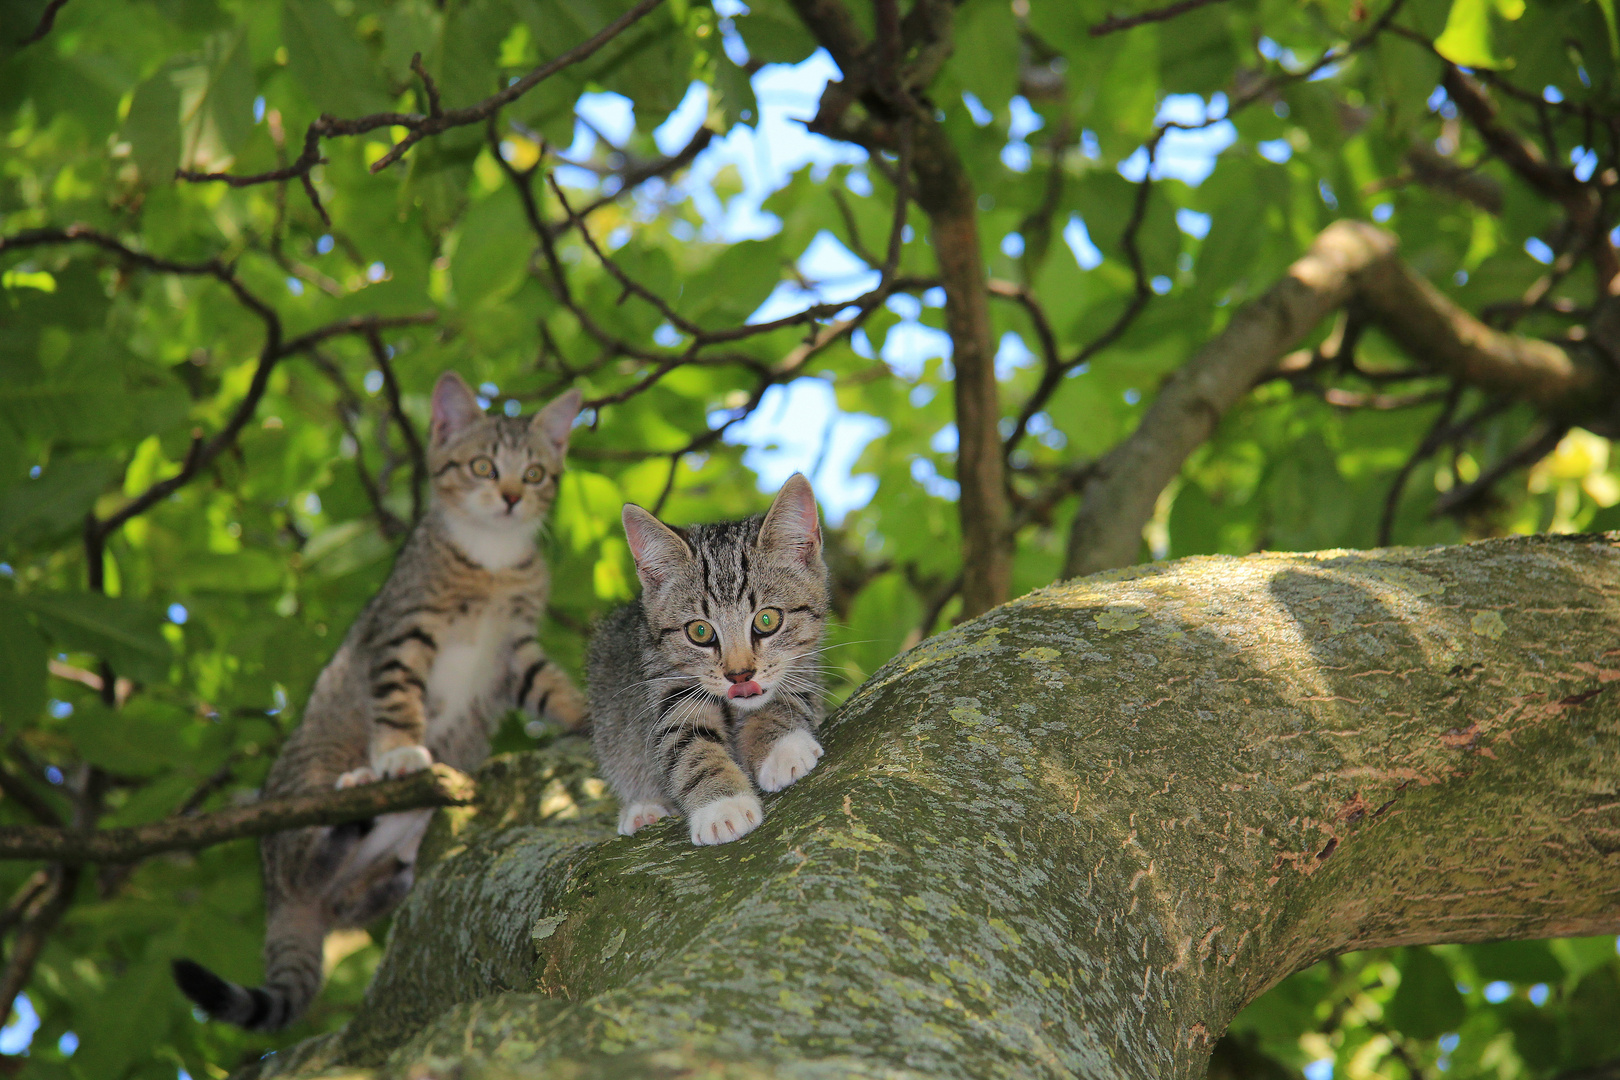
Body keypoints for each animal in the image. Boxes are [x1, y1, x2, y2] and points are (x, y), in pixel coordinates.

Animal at [170, 375, 586, 1036]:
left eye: (536, 473)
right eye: (483, 466)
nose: (512, 497)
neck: (491, 561)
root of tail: (278, 899)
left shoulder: (516, 650)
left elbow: (552, 687)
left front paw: (589, 716)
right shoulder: (402, 629)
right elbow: (397, 699)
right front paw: (399, 752)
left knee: (350, 898)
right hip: (299, 804)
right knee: (308, 862)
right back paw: (357, 791)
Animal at [589, 472, 829, 841]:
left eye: (767, 620)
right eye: (700, 632)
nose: (740, 675)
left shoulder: (802, 666)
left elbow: (785, 701)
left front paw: (782, 747)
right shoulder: (667, 687)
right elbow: (689, 747)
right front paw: (722, 805)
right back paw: (644, 810)